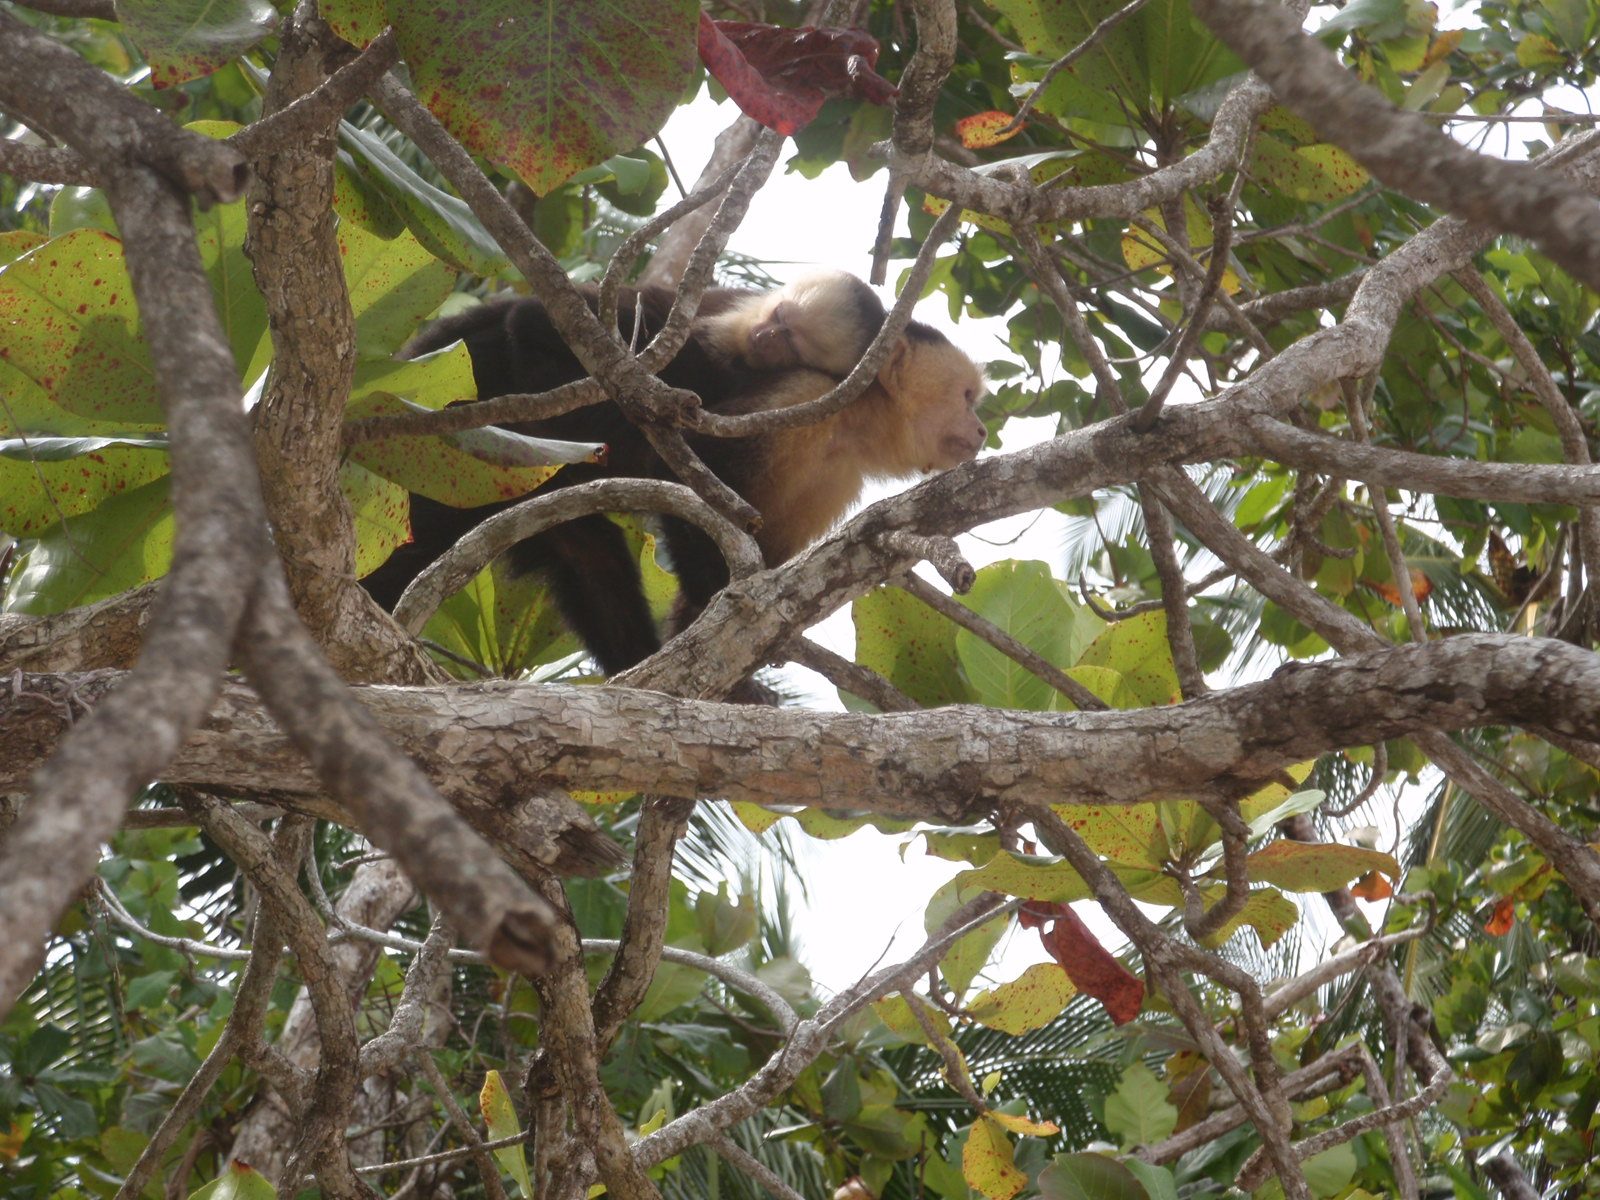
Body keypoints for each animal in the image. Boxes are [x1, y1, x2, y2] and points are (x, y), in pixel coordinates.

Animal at [359, 272, 986, 677]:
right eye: (968, 397)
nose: (982, 430)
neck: (855, 424)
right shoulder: (803, 395)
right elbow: (695, 481)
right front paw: (715, 601)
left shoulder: (835, 476)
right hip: (458, 408)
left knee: (587, 555)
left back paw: (637, 665)